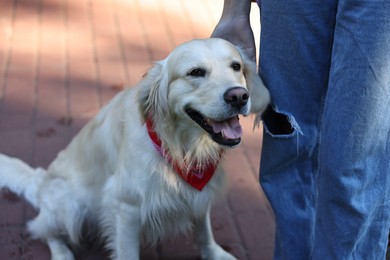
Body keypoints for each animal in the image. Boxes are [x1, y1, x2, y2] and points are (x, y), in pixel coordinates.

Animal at [0, 37, 268, 258]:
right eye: (196, 72)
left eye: (236, 66)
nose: (238, 96)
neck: (179, 146)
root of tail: (41, 182)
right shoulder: (126, 206)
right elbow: (127, 251)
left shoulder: (199, 193)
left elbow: (204, 229)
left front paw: (213, 253)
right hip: (70, 204)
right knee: (45, 230)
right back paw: (62, 253)